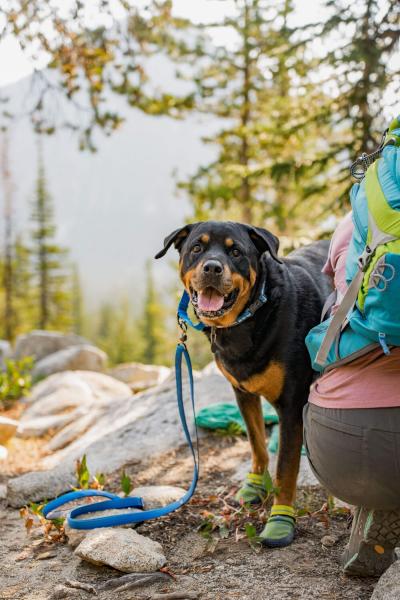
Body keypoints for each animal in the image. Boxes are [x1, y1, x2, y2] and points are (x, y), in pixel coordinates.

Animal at [156, 221, 332, 548]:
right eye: (196, 248)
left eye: (236, 251)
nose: (212, 267)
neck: (251, 316)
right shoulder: (242, 393)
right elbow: (257, 443)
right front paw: (255, 486)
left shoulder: (291, 405)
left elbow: (285, 469)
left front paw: (280, 520)